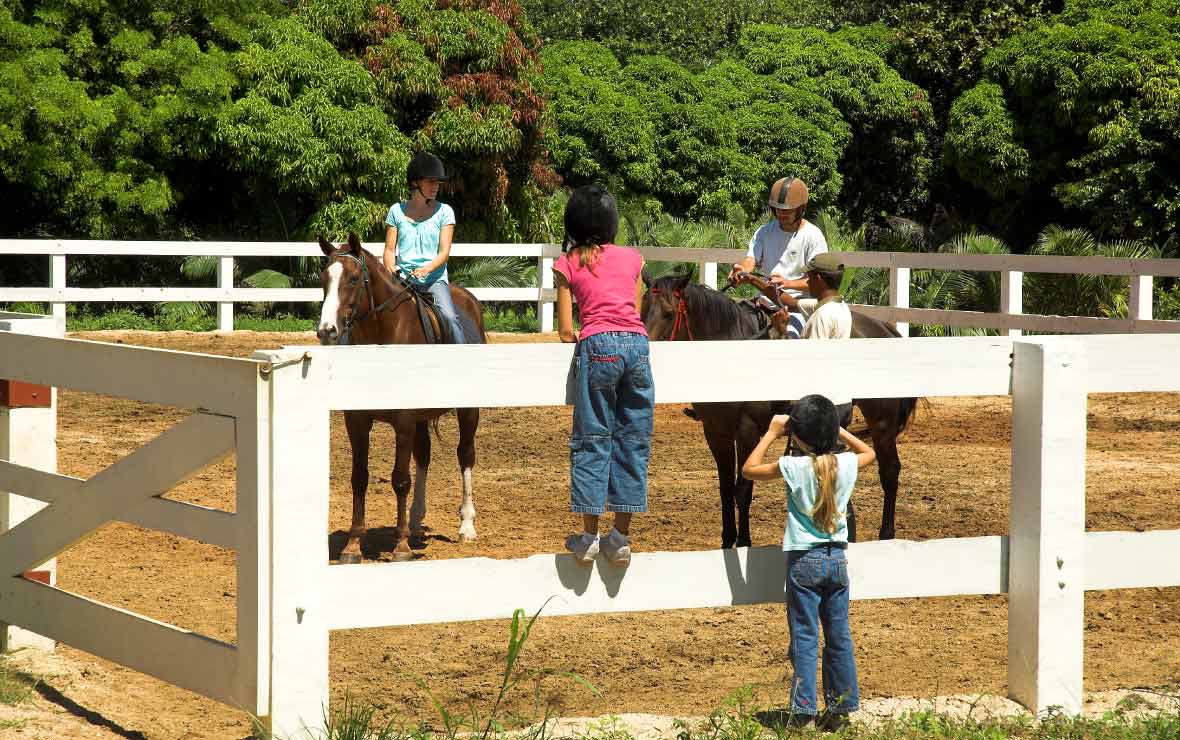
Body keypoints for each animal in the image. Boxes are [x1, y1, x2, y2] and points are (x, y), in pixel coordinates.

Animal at [313, 234, 483, 564]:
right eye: (324, 279)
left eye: (354, 278)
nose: (327, 330)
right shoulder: (357, 420)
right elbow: (359, 478)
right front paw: (353, 545)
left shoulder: (404, 420)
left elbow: (400, 479)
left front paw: (401, 547)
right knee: (424, 456)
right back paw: (415, 522)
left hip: (468, 410)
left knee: (465, 455)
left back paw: (466, 526)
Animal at [641, 274, 915, 547]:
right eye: (642, 309)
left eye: (668, 313)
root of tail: (883, 328)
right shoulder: (716, 431)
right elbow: (725, 489)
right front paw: (727, 542)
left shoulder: (747, 430)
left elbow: (743, 489)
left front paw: (744, 542)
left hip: (882, 424)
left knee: (889, 472)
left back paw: (886, 535)